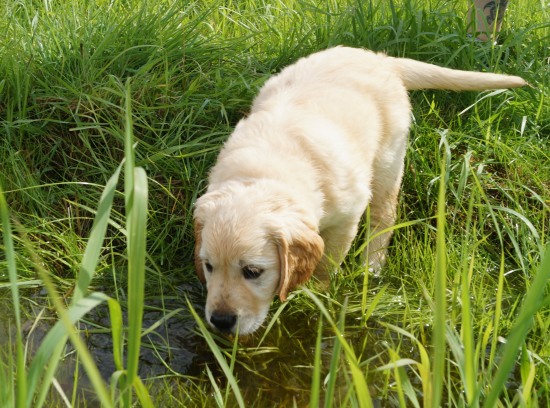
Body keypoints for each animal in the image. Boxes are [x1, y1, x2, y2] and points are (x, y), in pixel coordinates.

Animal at [193, 46, 525, 335]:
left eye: (253, 272)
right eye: (208, 266)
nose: (220, 321)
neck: (264, 170)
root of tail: (380, 59)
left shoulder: (346, 215)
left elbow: (327, 260)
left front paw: (316, 292)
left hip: (389, 158)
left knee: (383, 215)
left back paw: (371, 266)